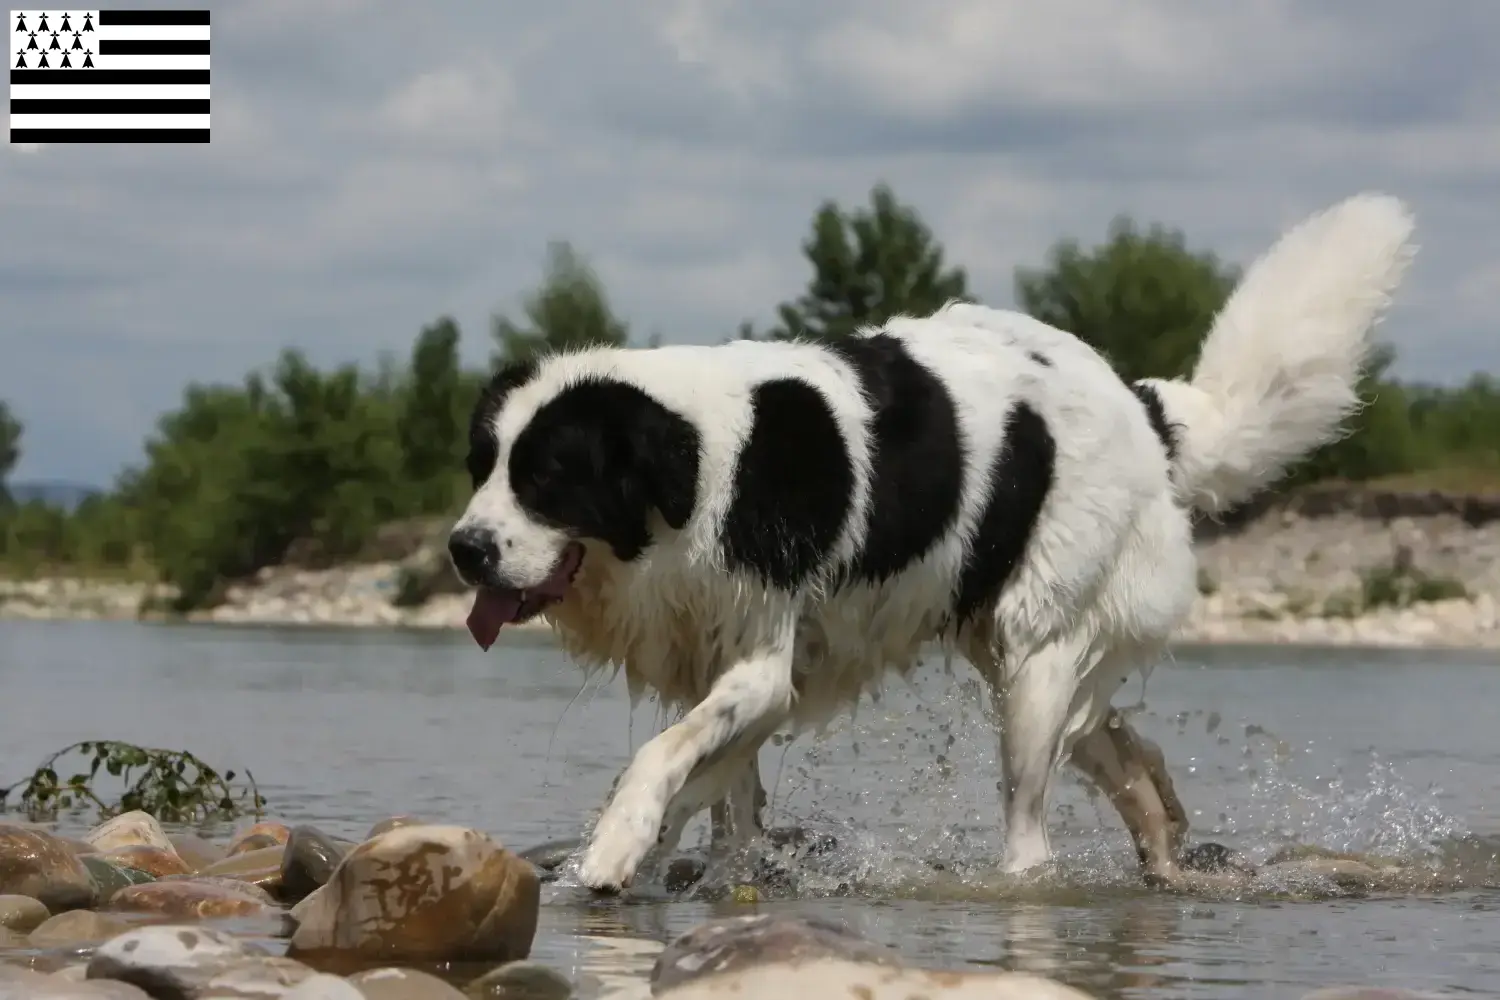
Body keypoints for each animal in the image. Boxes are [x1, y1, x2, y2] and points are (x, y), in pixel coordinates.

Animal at [447, 193, 1416, 893]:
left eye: (549, 479)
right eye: (482, 463)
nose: (463, 549)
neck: (693, 472)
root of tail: (1140, 401)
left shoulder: (760, 666)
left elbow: (665, 756)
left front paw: (614, 850)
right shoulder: (716, 666)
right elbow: (724, 792)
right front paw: (706, 870)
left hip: (1035, 655)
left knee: (1032, 824)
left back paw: (1028, 878)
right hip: (1026, 645)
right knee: (1123, 753)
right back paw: (1167, 853)